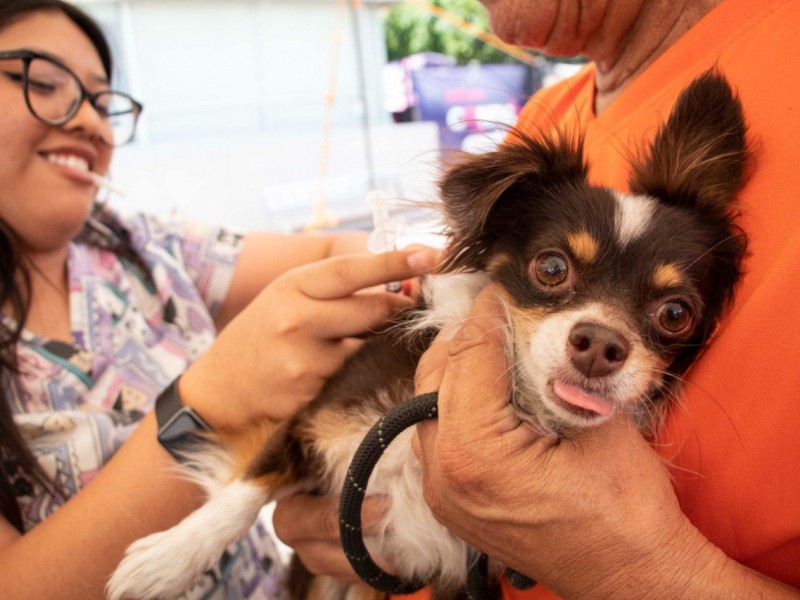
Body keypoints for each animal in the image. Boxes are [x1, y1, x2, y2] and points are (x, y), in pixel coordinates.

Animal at [108, 71, 752, 600]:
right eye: (551, 267)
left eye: (675, 314)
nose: (599, 344)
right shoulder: (316, 412)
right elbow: (248, 484)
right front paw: (166, 560)